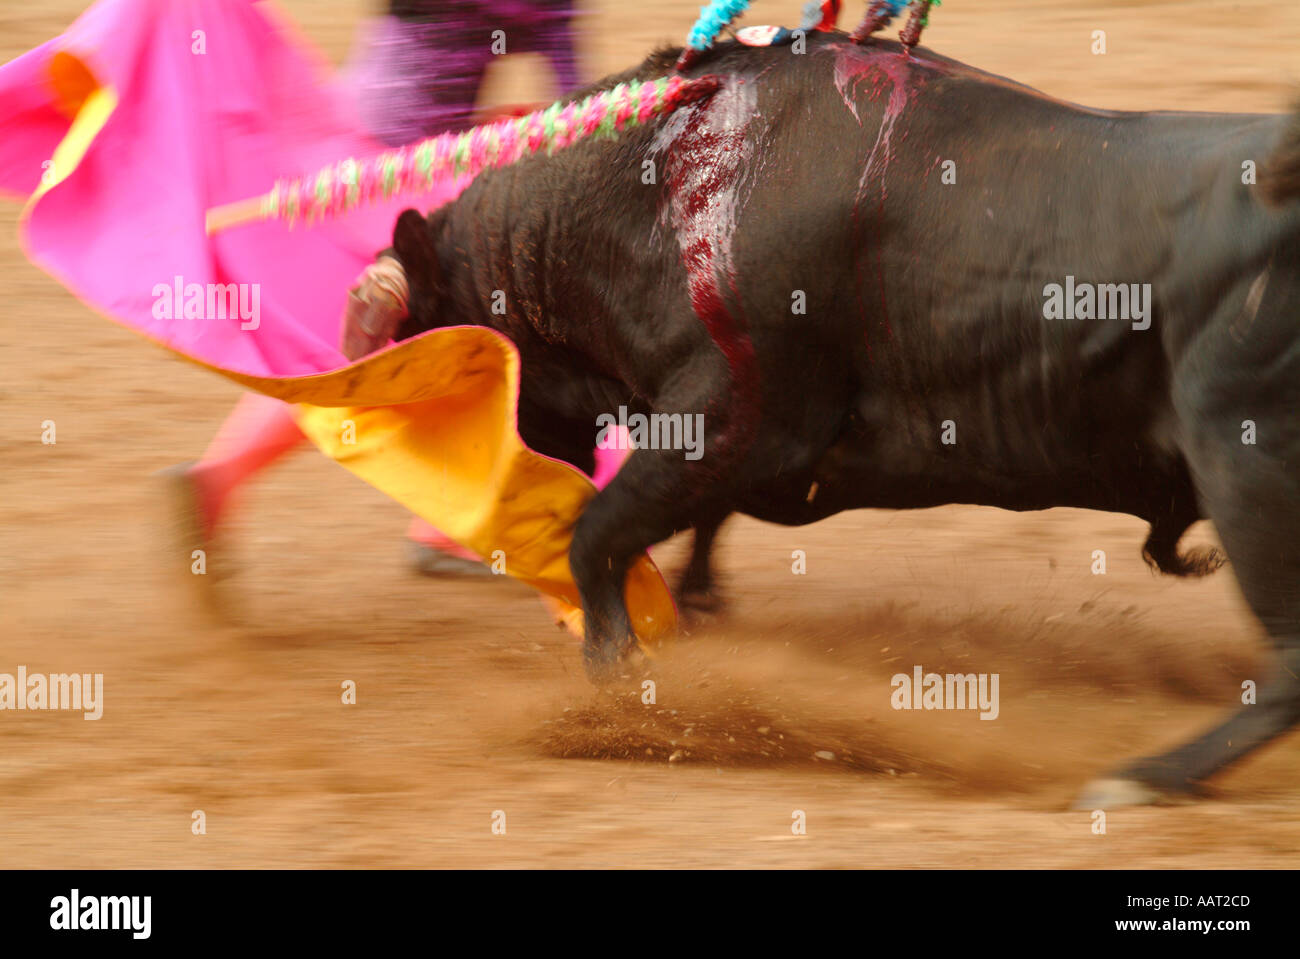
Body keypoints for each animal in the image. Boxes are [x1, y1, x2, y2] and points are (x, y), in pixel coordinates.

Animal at [368, 32, 1300, 806]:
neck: (660, 195)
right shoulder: (728, 444)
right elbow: (687, 533)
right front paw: (695, 614)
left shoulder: (731, 418)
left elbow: (596, 535)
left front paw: (619, 692)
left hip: (1244, 467)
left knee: (1286, 671)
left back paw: (1143, 778)